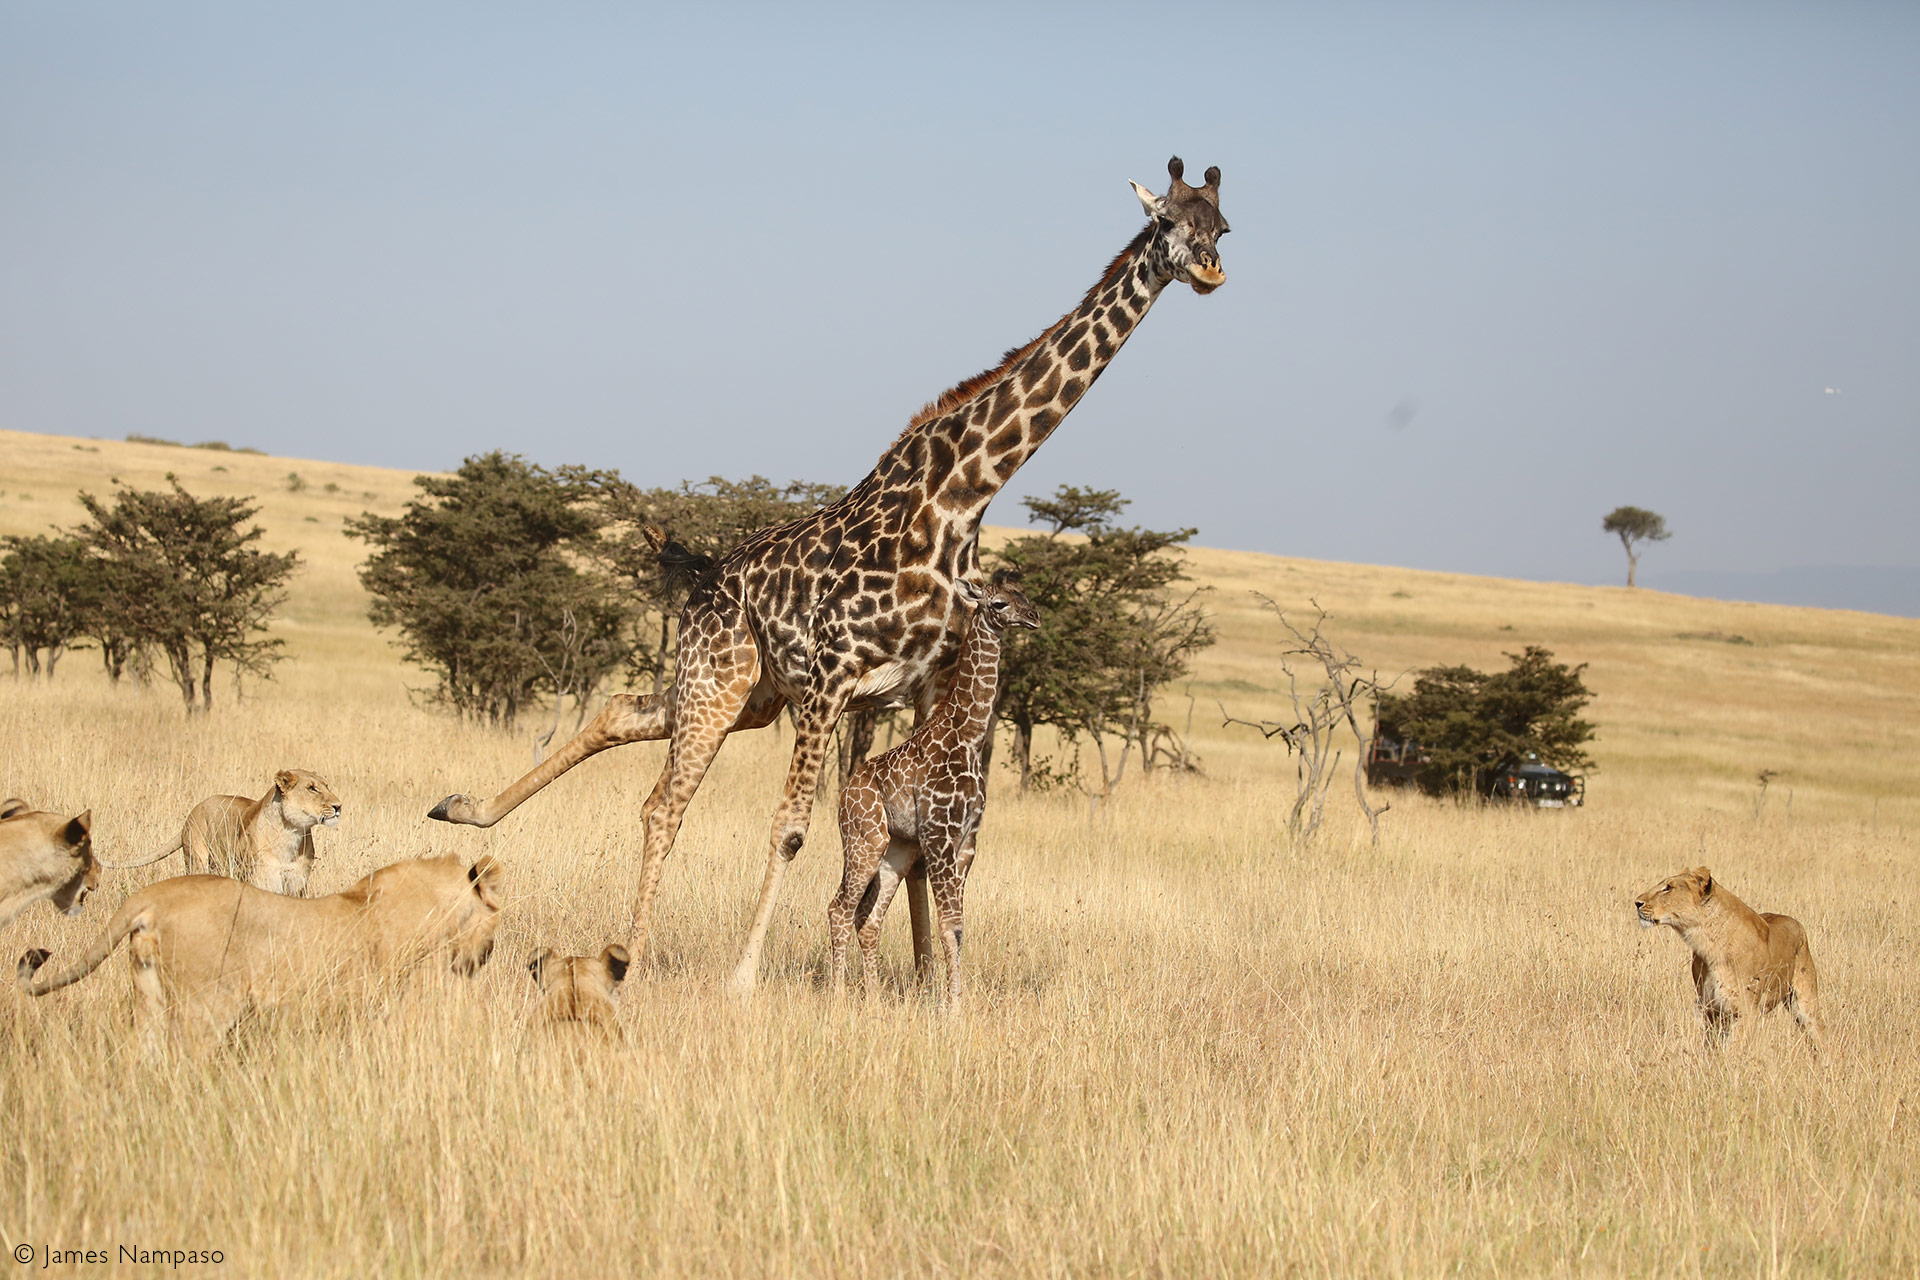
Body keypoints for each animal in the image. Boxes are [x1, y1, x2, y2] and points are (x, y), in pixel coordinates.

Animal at [825, 575, 1036, 1005]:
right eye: (1001, 603)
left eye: (1025, 595)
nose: (1034, 617)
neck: (969, 736)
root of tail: (845, 792)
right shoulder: (940, 833)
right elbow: (947, 925)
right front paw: (952, 1005)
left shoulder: (968, 839)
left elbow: (958, 924)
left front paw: (957, 999)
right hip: (865, 839)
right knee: (839, 908)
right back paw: (836, 995)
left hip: (897, 849)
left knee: (869, 918)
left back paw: (874, 1000)